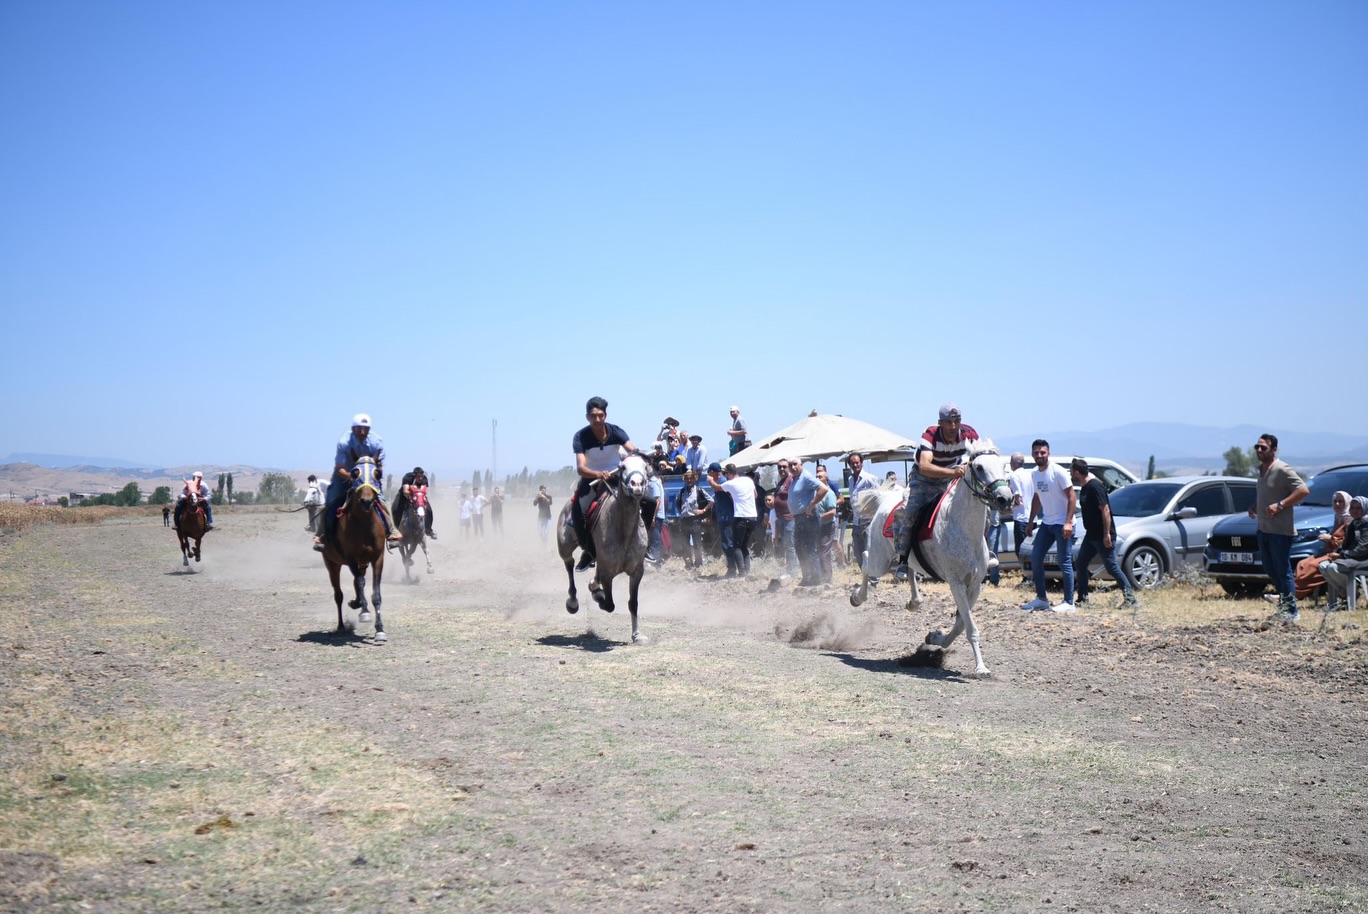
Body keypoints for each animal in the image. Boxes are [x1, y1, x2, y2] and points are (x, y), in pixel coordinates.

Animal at [318, 457, 388, 643]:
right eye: (355, 473)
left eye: (377, 473)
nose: (366, 501)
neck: (364, 525)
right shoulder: (350, 558)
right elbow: (360, 582)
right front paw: (365, 612)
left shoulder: (377, 558)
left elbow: (375, 594)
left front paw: (380, 630)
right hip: (332, 564)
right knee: (339, 594)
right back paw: (342, 626)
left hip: (362, 563)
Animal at [560, 451, 656, 643]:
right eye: (622, 467)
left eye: (644, 466)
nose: (637, 485)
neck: (624, 532)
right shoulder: (607, 572)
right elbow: (610, 604)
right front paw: (599, 597)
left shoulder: (637, 571)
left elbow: (633, 603)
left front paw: (637, 635)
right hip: (564, 545)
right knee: (569, 564)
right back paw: (573, 602)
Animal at [842, 437, 1017, 675]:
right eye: (979, 467)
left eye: (1002, 466)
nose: (1005, 498)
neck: (962, 527)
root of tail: (885, 499)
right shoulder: (956, 583)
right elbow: (970, 627)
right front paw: (981, 667)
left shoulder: (975, 585)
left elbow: (961, 624)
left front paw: (935, 638)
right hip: (881, 559)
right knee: (867, 561)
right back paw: (857, 597)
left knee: (909, 569)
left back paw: (914, 602)